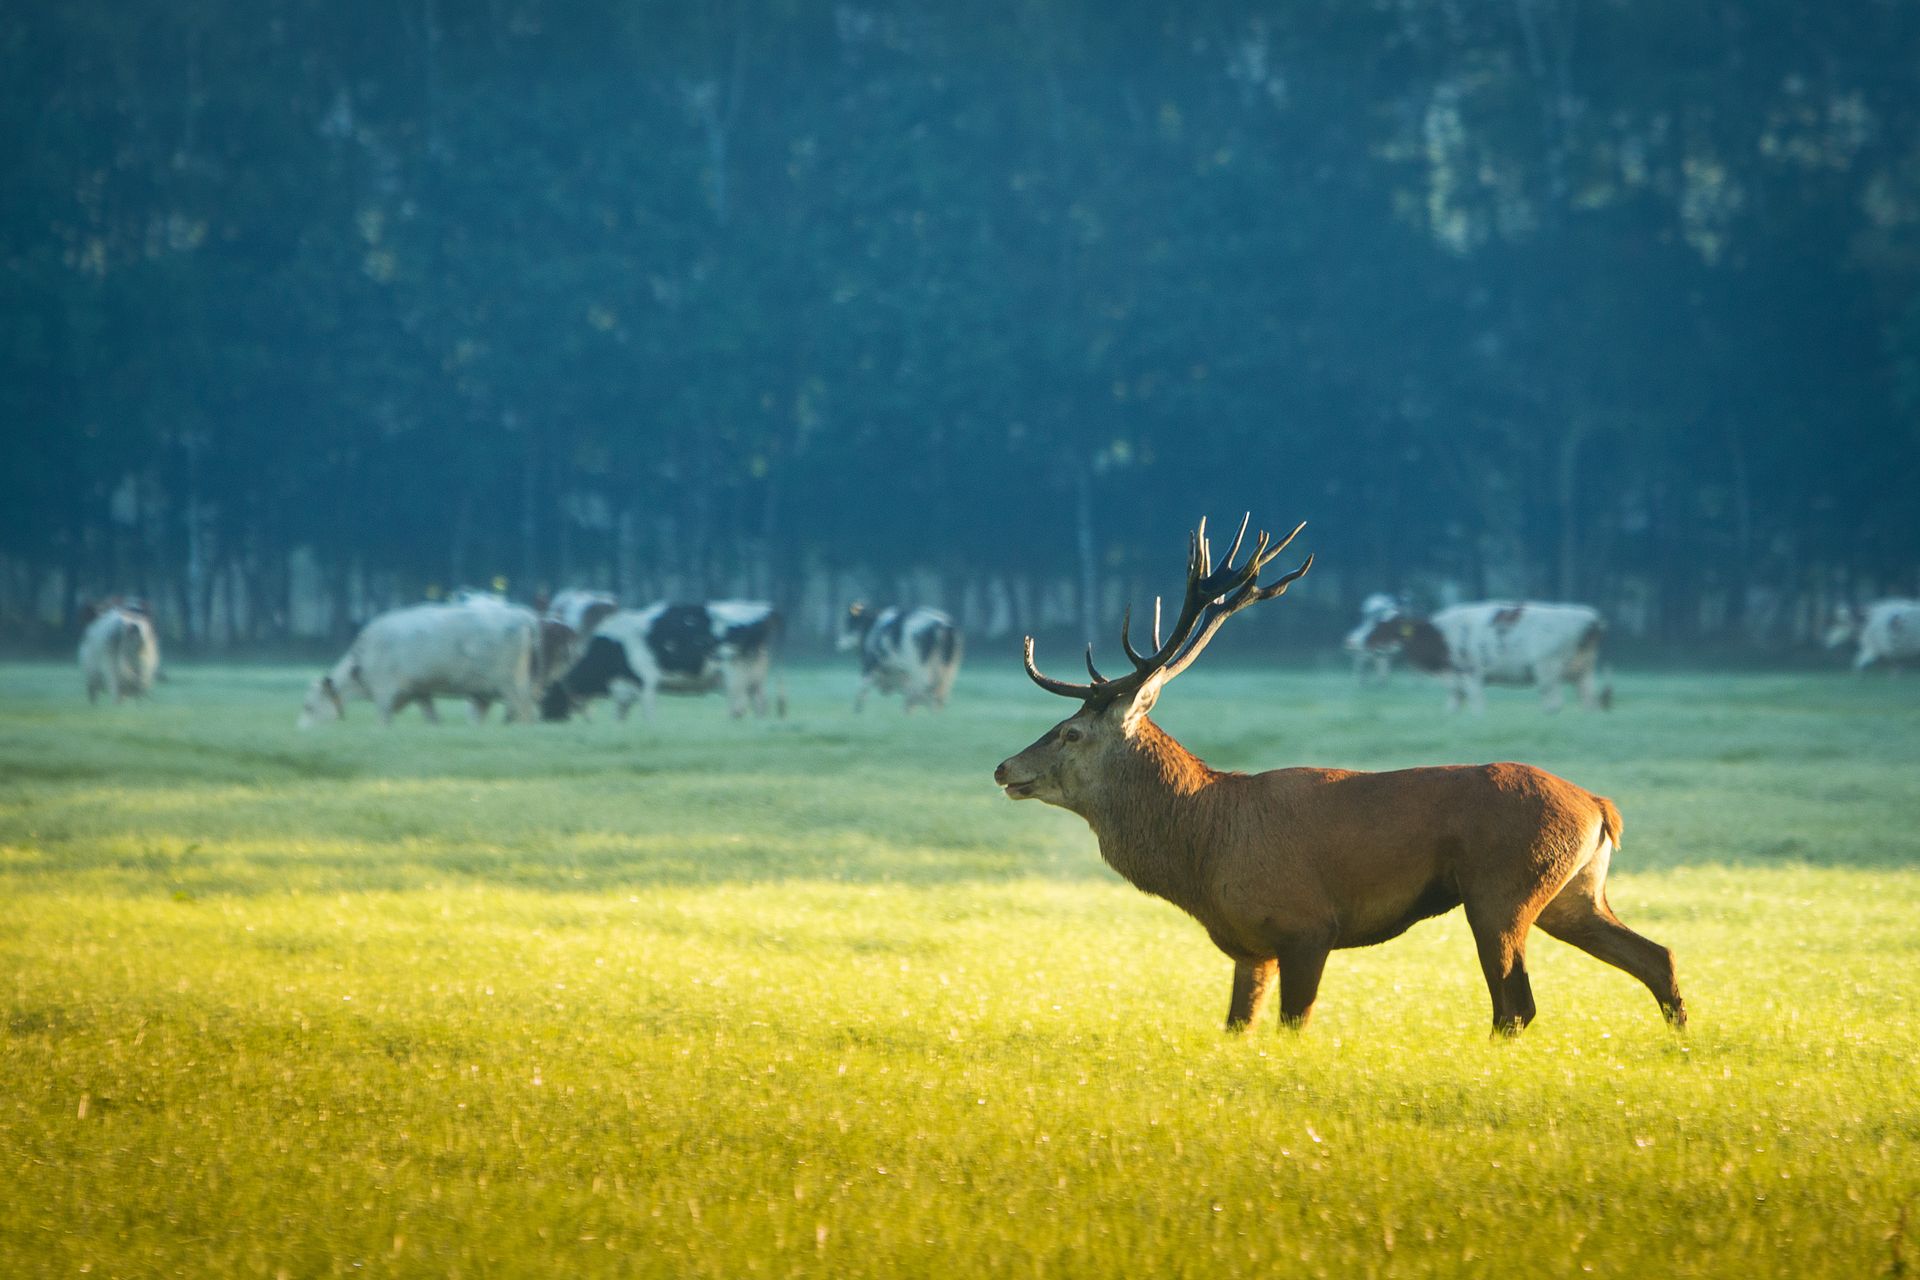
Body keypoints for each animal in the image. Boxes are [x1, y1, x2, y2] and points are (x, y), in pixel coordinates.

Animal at [298, 601, 539, 728]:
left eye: (308, 706)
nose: (301, 730)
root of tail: (522, 615)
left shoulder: (383, 691)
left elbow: (383, 720)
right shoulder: (419, 691)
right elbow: (432, 717)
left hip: (509, 683)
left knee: (525, 711)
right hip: (490, 689)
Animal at [540, 600, 784, 722]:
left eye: (547, 699)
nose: (545, 719)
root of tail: (762, 610)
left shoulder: (646, 681)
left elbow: (648, 712)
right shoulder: (623, 687)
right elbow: (620, 715)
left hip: (733, 674)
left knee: (738, 709)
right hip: (755, 678)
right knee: (760, 706)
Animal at [1357, 600, 1610, 713]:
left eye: (1382, 624)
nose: (1356, 640)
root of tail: (1590, 618)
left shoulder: (1471, 674)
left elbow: (1477, 706)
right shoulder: (1455, 681)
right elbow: (1453, 707)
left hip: (1548, 669)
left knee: (1553, 704)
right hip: (1583, 672)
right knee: (1590, 703)